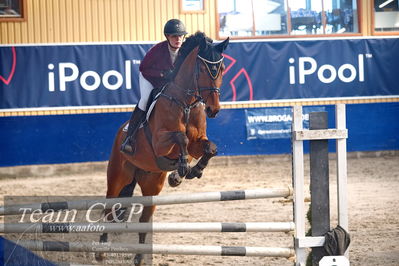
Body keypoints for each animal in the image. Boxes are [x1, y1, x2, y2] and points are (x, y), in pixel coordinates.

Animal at [95, 32, 230, 264]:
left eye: (221, 69)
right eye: (203, 69)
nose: (214, 110)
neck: (186, 102)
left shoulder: (197, 143)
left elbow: (210, 148)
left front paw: (192, 171)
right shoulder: (160, 143)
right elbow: (180, 138)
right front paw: (182, 168)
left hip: (151, 185)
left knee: (143, 220)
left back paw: (140, 257)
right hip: (118, 176)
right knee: (109, 208)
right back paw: (102, 250)